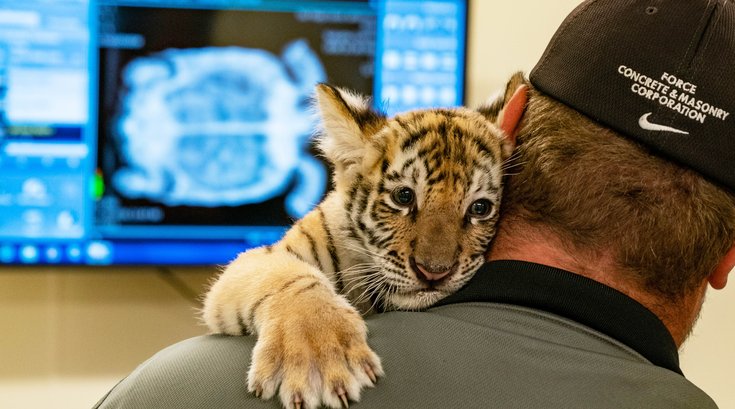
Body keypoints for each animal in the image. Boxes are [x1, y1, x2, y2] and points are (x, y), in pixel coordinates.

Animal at [202, 73, 527, 409]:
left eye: (480, 208)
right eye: (403, 196)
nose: (434, 273)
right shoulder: (262, 258)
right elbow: (291, 279)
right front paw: (317, 356)